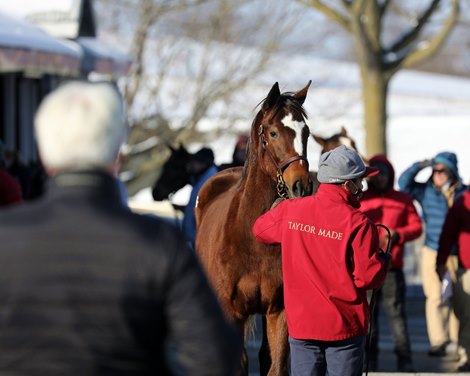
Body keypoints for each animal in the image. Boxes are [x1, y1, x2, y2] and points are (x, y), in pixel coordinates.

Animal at [195, 82, 312, 376]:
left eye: (306, 132)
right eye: (273, 132)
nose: (301, 186)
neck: (252, 238)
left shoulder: (278, 310)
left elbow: (275, 367)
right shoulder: (232, 312)